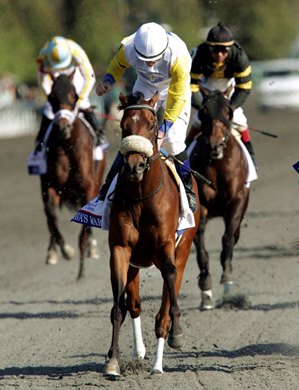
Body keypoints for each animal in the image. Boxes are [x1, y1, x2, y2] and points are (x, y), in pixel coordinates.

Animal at [39, 74, 105, 280]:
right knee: (49, 219)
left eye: (73, 96)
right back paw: (52, 252)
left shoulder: (89, 187)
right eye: (52, 97)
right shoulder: (49, 186)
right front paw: (66, 251)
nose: (63, 127)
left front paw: (81, 269)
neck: (68, 146)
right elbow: (52, 218)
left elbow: (84, 226)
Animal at [104, 92, 200, 378]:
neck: (141, 196)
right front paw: (113, 361)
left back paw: (158, 363)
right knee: (134, 305)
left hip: (184, 248)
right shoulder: (121, 250)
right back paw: (139, 352)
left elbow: (168, 284)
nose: (135, 166)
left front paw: (176, 334)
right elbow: (119, 307)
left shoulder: (166, 248)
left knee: (166, 298)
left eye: (151, 124)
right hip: (135, 264)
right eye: (124, 125)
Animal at [190, 90, 251, 310]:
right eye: (203, 112)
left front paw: (227, 280)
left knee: (233, 236)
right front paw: (206, 289)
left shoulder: (236, 202)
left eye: (228, 111)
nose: (215, 145)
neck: (217, 165)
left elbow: (227, 239)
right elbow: (200, 247)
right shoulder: (201, 206)